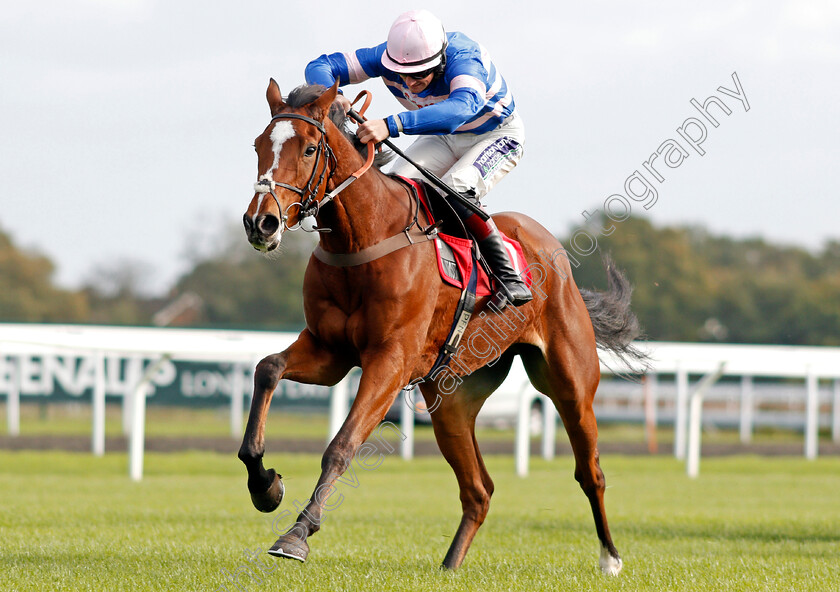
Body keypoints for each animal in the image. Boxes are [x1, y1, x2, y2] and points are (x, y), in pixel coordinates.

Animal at [240, 81, 648, 576]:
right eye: (258, 146)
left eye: (310, 148)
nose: (261, 222)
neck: (364, 238)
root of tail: (553, 252)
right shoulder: (328, 351)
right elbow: (267, 368)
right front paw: (265, 485)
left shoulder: (390, 360)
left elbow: (342, 445)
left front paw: (297, 535)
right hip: (451, 399)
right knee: (479, 490)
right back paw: (451, 565)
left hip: (571, 383)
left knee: (590, 471)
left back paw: (610, 557)